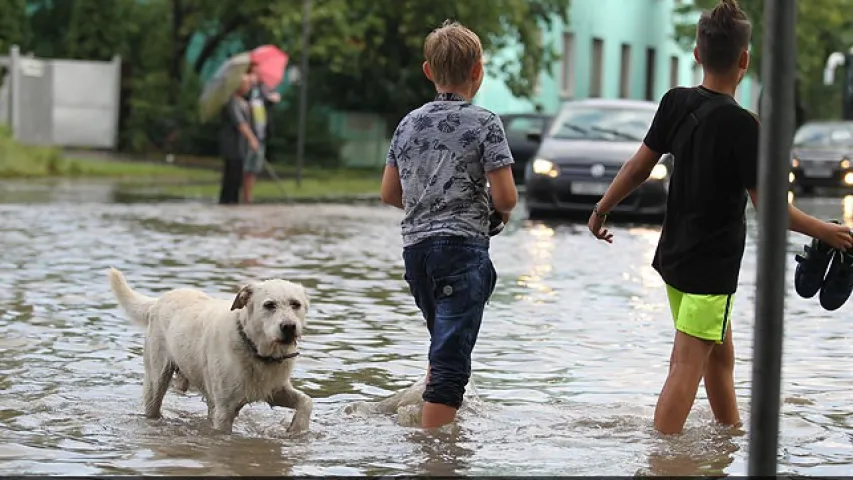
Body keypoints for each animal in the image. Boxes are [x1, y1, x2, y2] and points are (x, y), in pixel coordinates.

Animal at [106, 268, 312, 434]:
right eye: (269, 305)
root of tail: (159, 300)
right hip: (156, 378)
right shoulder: (224, 411)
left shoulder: (275, 390)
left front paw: (297, 430)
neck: (256, 349)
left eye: (296, 304)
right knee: (154, 401)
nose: (289, 327)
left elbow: (307, 401)